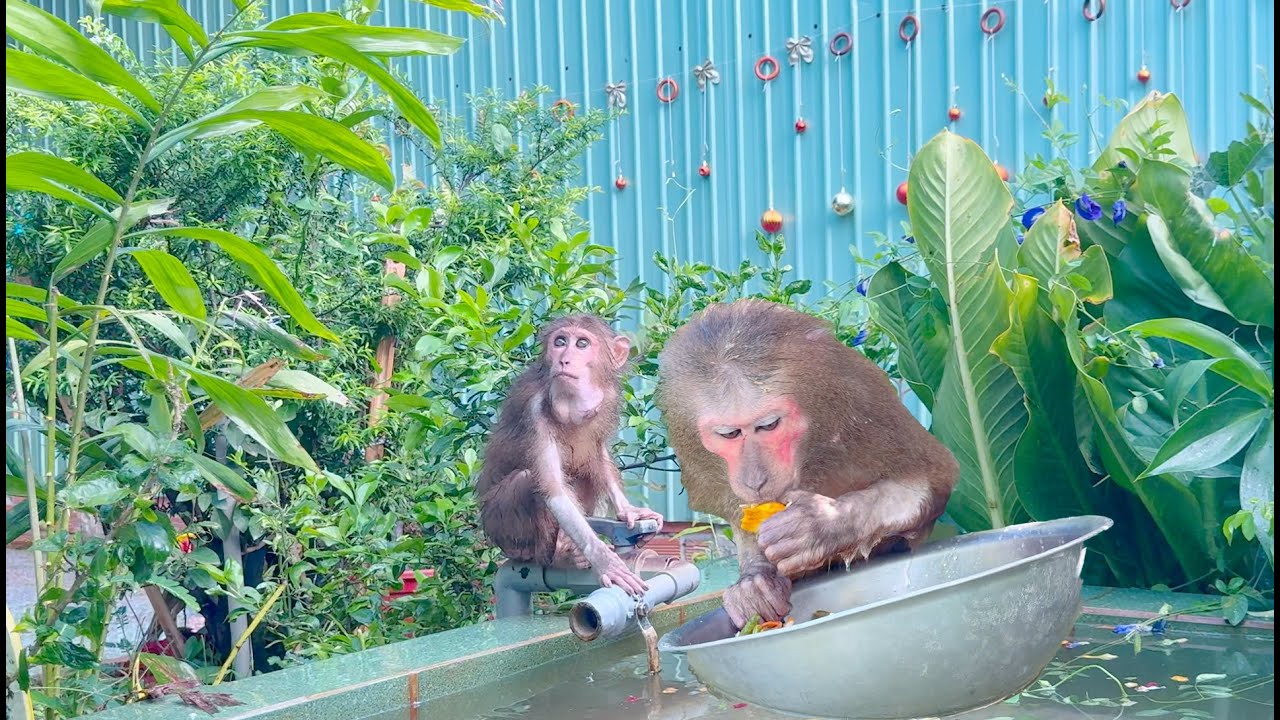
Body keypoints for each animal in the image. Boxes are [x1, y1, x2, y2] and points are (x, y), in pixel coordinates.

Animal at [475, 314, 665, 597]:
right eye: (561, 342)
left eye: (582, 344)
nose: (564, 359)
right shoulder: (535, 411)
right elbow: (555, 491)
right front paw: (605, 561)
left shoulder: (608, 398)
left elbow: (598, 453)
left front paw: (629, 511)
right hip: (501, 529)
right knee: (526, 480)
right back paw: (557, 557)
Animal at [654, 299, 959, 628]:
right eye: (729, 434)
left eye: (768, 425)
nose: (754, 480)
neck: (809, 454)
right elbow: (741, 515)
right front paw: (755, 582)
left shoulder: (862, 409)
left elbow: (929, 479)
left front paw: (822, 525)